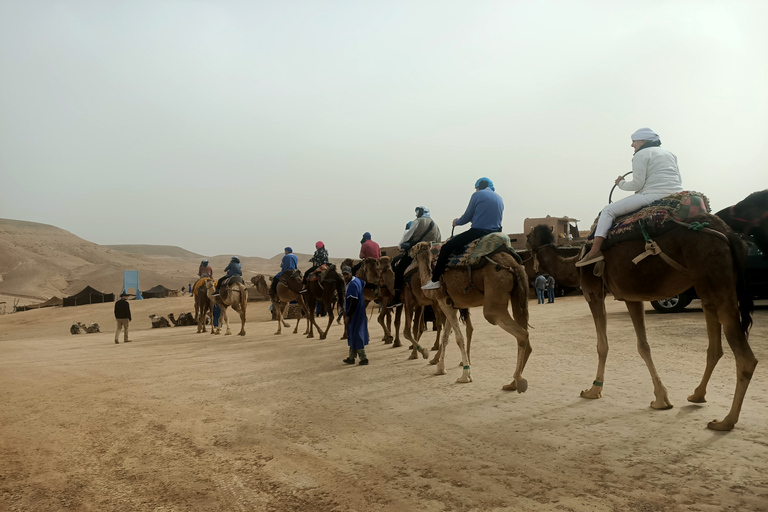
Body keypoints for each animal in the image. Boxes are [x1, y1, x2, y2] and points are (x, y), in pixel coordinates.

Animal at [412, 240, 532, 388]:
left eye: (413, 249)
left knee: (521, 333)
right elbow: (445, 337)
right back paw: (512, 384)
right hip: (517, 295)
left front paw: (465, 376)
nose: (409, 253)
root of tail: (513, 265)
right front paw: (440, 368)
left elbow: (458, 338)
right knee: (524, 330)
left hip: (494, 296)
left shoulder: (443, 301)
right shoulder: (452, 305)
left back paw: (517, 381)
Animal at [528, 216, 756, 432]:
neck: (575, 262)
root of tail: (730, 235)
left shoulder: (593, 292)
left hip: (716, 279)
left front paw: (593, 390)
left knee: (745, 357)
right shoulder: (632, 297)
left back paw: (725, 421)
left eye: (529, 236)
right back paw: (697, 395)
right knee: (715, 347)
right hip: (708, 289)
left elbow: (603, 346)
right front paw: (661, 399)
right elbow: (643, 346)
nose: (523, 255)